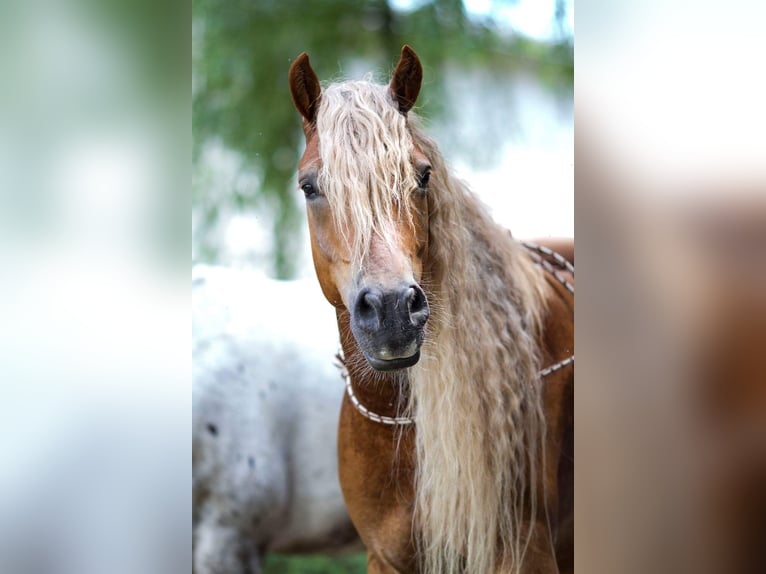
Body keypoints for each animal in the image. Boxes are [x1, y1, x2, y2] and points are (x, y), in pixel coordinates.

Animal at [290, 46, 576, 574]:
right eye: (308, 186)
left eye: (422, 176)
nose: (391, 311)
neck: (401, 425)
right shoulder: (385, 559)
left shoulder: (526, 553)